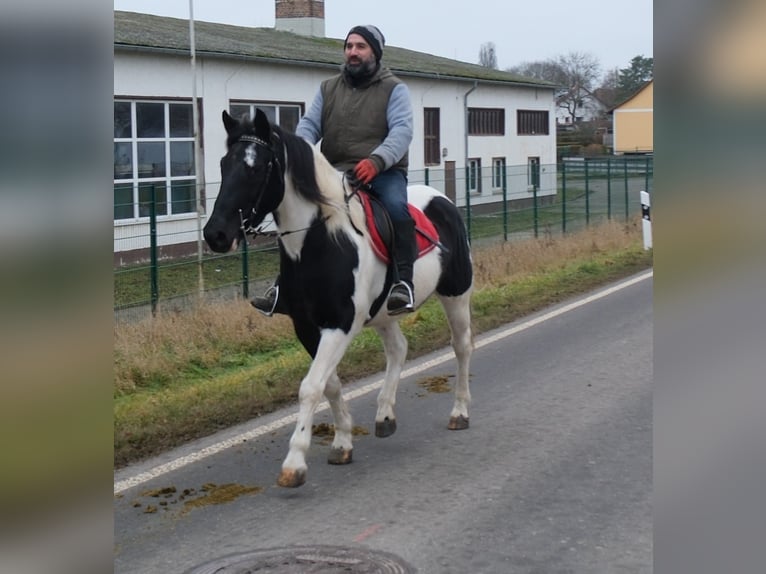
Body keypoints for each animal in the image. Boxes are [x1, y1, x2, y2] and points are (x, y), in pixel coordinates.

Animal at [203, 109, 474, 488]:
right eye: (224, 164)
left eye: (255, 168)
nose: (215, 234)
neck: (320, 241)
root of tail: (442, 199)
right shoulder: (307, 327)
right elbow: (328, 384)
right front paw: (342, 440)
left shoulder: (340, 324)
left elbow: (311, 386)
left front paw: (294, 463)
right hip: (384, 313)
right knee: (398, 349)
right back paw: (385, 415)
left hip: (456, 294)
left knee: (461, 346)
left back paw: (459, 412)